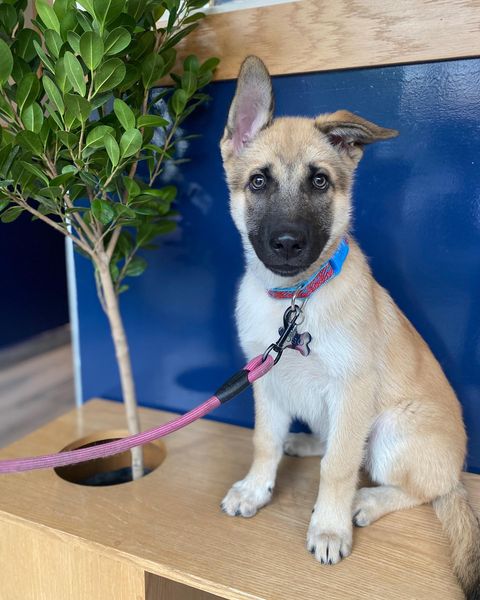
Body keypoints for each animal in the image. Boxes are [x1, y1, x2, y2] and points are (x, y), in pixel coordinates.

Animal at [219, 56, 478, 600]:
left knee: (417, 487)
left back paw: (367, 502)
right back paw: (306, 444)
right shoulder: (266, 384)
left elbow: (337, 468)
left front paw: (329, 527)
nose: (288, 243)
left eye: (319, 182)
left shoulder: (353, 388)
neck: (296, 298)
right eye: (258, 182)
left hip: (393, 431)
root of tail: (458, 469)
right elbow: (264, 441)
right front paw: (256, 488)